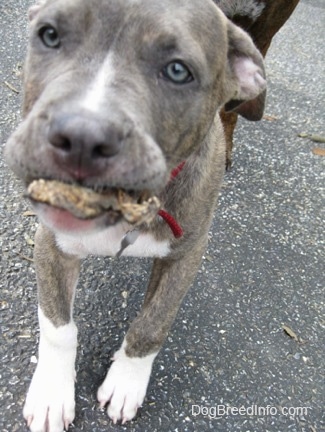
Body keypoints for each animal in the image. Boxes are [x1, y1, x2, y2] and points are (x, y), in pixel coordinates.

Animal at [4, 0, 264, 430]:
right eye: (50, 34)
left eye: (178, 71)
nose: (81, 137)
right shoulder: (51, 243)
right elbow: (58, 325)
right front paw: (51, 393)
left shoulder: (186, 254)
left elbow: (152, 325)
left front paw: (126, 381)